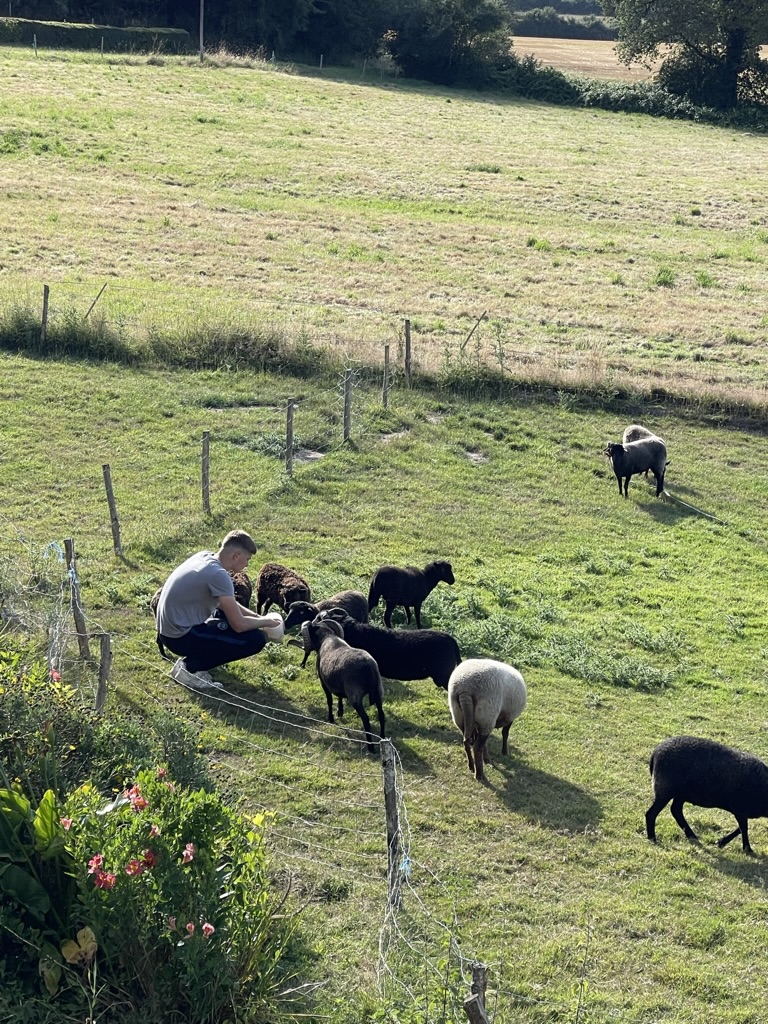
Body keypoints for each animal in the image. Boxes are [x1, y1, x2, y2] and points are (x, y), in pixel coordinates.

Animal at [302, 618, 385, 753]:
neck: (327, 637)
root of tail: (369, 667)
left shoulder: (324, 683)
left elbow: (329, 700)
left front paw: (331, 718)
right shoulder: (338, 684)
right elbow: (339, 696)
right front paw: (340, 711)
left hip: (355, 696)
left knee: (366, 719)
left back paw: (370, 746)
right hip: (378, 692)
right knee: (381, 716)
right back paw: (382, 738)